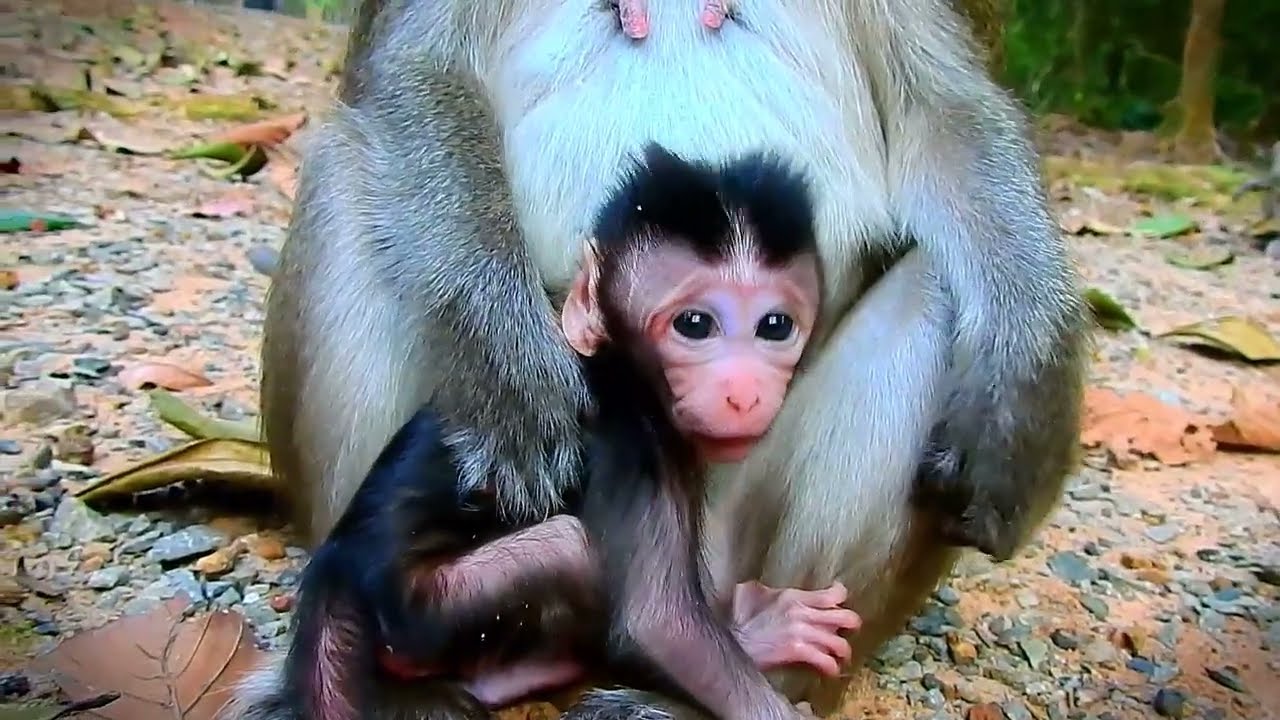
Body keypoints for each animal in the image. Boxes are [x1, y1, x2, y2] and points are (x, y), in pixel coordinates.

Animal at [234, 145, 859, 720]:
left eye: (774, 326)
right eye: (695, 324)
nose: (743, 391)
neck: (621, 368)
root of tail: (331, 575)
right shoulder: (630, 442)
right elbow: (659, 622)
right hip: (418, 615)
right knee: (568, 550)